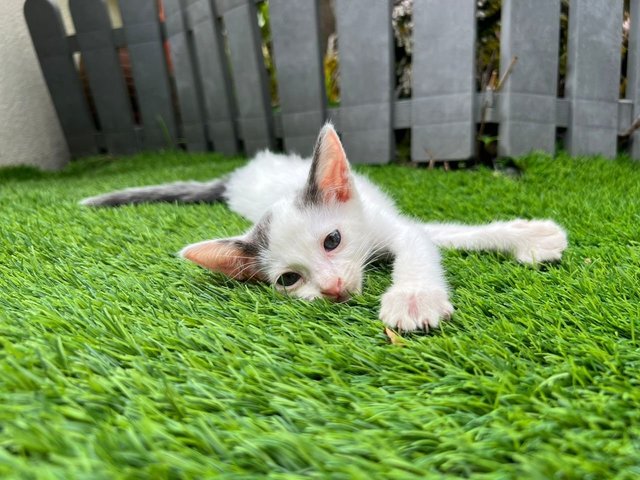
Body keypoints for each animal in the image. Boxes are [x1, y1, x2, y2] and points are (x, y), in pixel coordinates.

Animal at [82, 124, 568, 332]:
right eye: (289, 280)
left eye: (333, 240)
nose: (332, 288)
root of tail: (237, 177)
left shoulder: (391, 225)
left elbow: (430, 239)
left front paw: (413, 297)